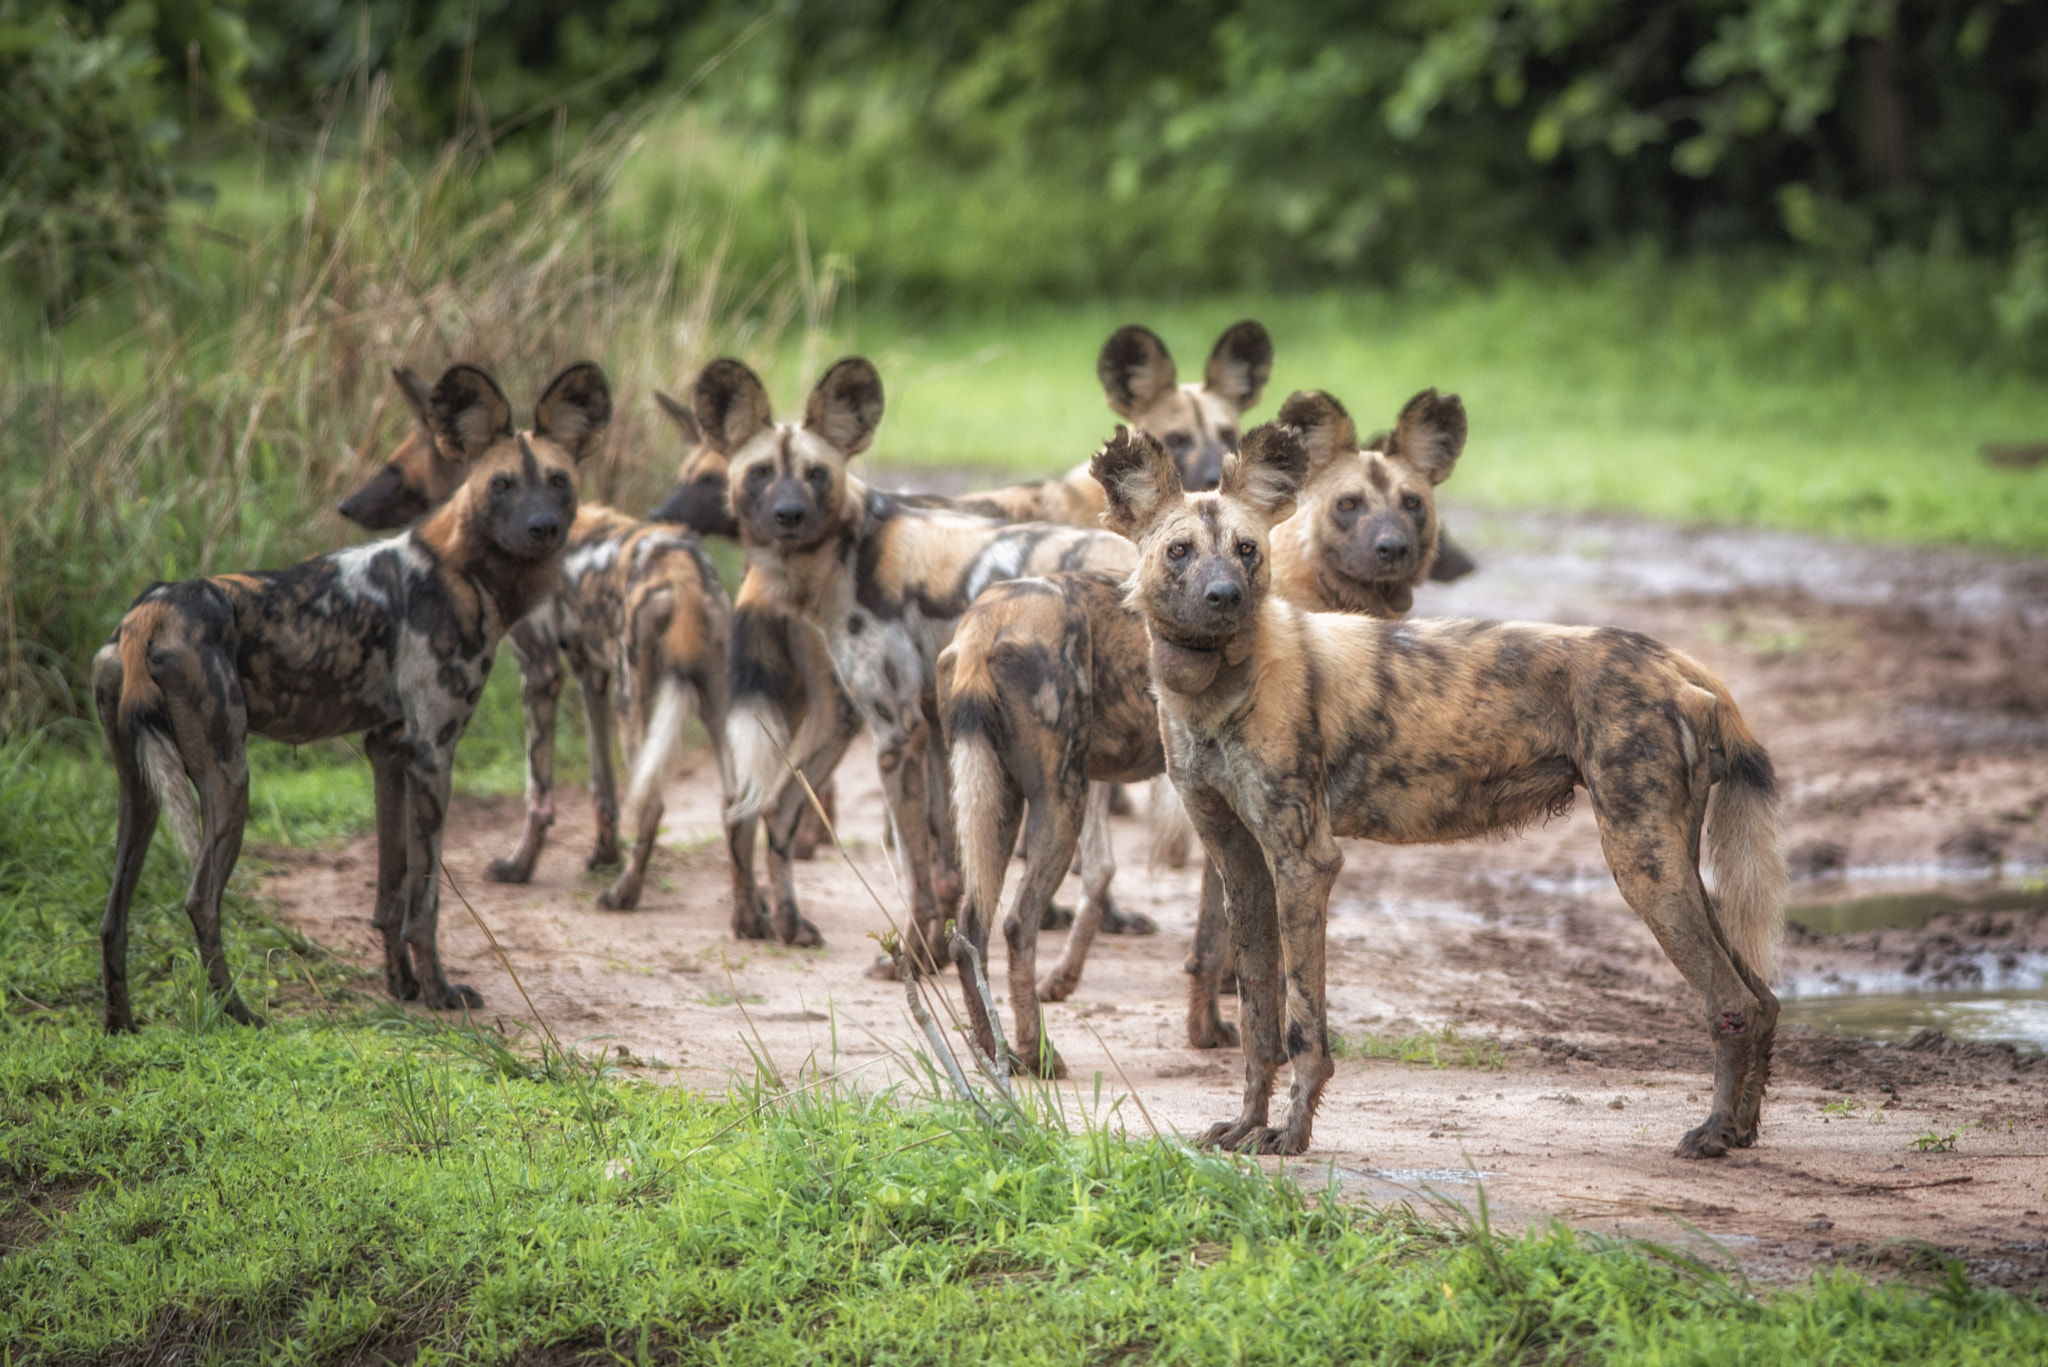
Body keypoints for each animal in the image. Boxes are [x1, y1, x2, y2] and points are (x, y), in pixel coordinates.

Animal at [96, 360, 606, 1024]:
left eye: (558, 482)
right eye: (502, 485)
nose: (543, 527)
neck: (462, 568)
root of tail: (148, 612)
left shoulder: (389, 752)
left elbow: (390, 892)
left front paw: (402, 986)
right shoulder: (433, 754)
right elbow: (425, 903)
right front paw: (439, 993)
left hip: (139, 791)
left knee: (112, 917)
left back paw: (121, 1026)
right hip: (229, 780)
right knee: (200, 899)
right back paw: (238, 1014)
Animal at [342, 368, 737, 914]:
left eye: (393, 468)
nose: (347, 504)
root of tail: (684, 567)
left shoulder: (541, 673)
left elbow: (539, 792)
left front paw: (520, 867)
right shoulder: (592, 674)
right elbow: (602, 786)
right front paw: (602, 854)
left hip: (635, 703)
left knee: (654, 802)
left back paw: (624, 894)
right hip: (705, 702)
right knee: (739, 806)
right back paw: (756, 914)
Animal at [692, 358, 1138, 967]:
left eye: (817, 474)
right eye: (760, 473)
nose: (789, 516)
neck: (852, 549)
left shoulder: (906, 734)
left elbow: (925, 870)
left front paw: (918, 957)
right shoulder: (927, 730)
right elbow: (939, 868)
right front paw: (927, 956)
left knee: (766, 808)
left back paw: (774, 921)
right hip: (840, 718)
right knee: (761, 808)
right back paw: (772, 921)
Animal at [937, 387, 1466, 1082]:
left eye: (1412, 504)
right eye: (1349, 505)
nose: (1392, 548)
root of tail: (986, 621)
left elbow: (1226, 947)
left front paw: (1216, 1028)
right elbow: (1232, 952)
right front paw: (1228, 1035)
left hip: (996, 798)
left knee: (970, 927)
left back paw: (988, 1052)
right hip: (1061, 801)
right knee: (1019, 924)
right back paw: (1036, 1054)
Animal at [1097, 422, 1785, 1164]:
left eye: (1247, 549)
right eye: (1179, 551)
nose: (1225, 595)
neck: (1218, 686)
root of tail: (1680, 662)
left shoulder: (1303, 865)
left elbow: (1303, 1026)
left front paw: (1292, 1133)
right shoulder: (1245, 867)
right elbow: (1258, 1020)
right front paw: (1248, 1124)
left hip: (1643, 866)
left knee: (1735, 1001)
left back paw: (1712, 1133)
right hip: (1671, 864)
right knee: (1764, 996)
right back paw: (1740, 1130)